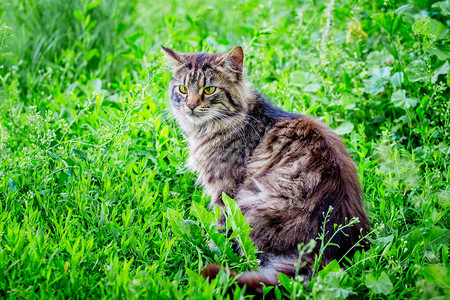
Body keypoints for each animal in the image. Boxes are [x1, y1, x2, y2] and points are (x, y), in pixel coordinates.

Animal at [162, 45, 370, 294]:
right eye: (183, 89)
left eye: (209, 90)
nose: (191, 106)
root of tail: (327, 252)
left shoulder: (225, 192)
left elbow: (220, 232)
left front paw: (211, 249)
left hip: (250, 201)